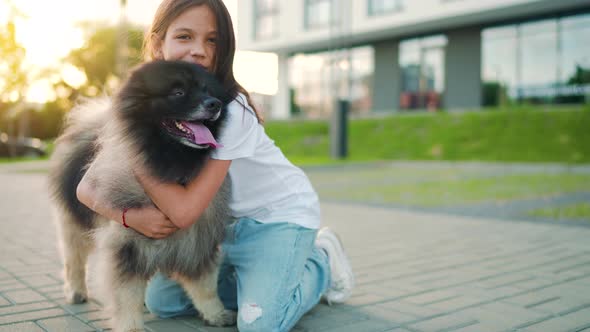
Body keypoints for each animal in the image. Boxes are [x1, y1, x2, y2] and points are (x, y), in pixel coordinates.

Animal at [48, 61, 237, 330]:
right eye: (178, 92)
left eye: (206, 90)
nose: (214, 104)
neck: (168, 162)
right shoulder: (127, 246)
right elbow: (126, 295)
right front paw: (131, 325)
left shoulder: (197, 239)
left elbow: (206, 285)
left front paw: (216, 313)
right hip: (74, 223)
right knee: (73, 259)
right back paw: (75, 291)